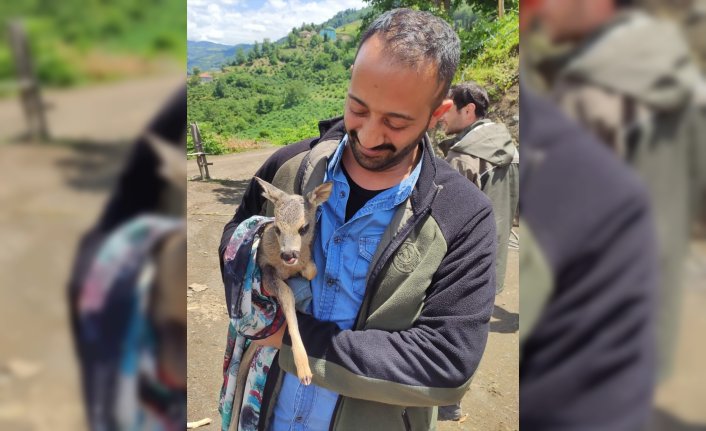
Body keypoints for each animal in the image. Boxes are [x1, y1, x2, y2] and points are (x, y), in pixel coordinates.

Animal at [219, 178, 332, 431]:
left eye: (304, 228)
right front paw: (304, 369)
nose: (288, 254)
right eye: (278, 228)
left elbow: (311, 271)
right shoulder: (266, 270)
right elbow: (288, 295)